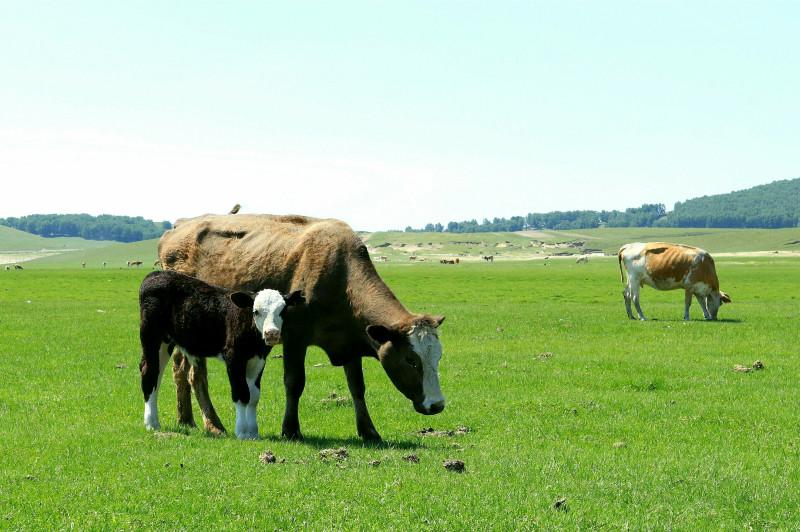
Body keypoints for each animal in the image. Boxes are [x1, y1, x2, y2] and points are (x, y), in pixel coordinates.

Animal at [138, 270, 304, 440]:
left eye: (282, 311)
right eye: (256, 311)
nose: (271, 333)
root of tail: (156, 274)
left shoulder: (259, 360)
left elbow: (254, 396)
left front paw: (253, 432)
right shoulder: (233, 358)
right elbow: (241, 393)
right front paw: (242, 431)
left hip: (166, 342)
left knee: (156, 375)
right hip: (151, 335)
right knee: (149, 372)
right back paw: (151, 423)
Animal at [156, 212, 444, 440]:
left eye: (438, 358)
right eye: (411, 360)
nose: (437, 405)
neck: (340, 274)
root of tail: (178, 227)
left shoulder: (350, 341)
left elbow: (357, 388)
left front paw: (369, 431)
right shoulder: (295, 339)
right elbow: (294, 383)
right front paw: (291, 429)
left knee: (181, 370)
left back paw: (187, 419)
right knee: (196, 375)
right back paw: (213, 424)